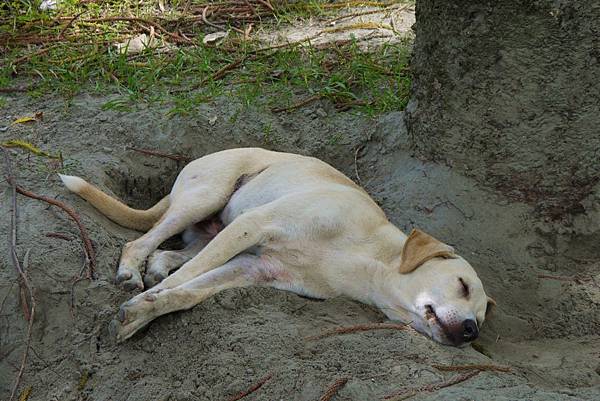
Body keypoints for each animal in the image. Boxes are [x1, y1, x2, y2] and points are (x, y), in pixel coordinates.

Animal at [58, 147, 494, 344]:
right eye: (462, 285)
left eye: (481, 319)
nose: (470, 331)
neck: (366, 260)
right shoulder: (253, 226)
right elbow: (185, 282)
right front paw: (140, 304)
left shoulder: (252, 268)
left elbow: (187, 293)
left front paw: (145, 312)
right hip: (205, 199)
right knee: (140, 242)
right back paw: (131, 272)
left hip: (210, 233)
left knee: (170, 252)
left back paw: (156, 267)